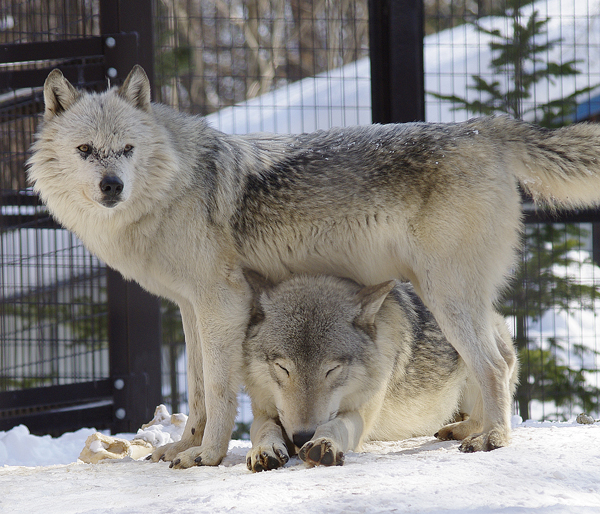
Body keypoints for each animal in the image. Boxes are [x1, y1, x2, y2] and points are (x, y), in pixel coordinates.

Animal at [241, 270, 516, 470]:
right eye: (283, 368)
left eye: (332, 370)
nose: (301, 437)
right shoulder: (264, 411)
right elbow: (264, 429)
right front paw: (264, 449)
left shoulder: (360, 414)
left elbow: (336, 426)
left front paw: (323, 443)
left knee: (496, 373)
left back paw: (473, 432)